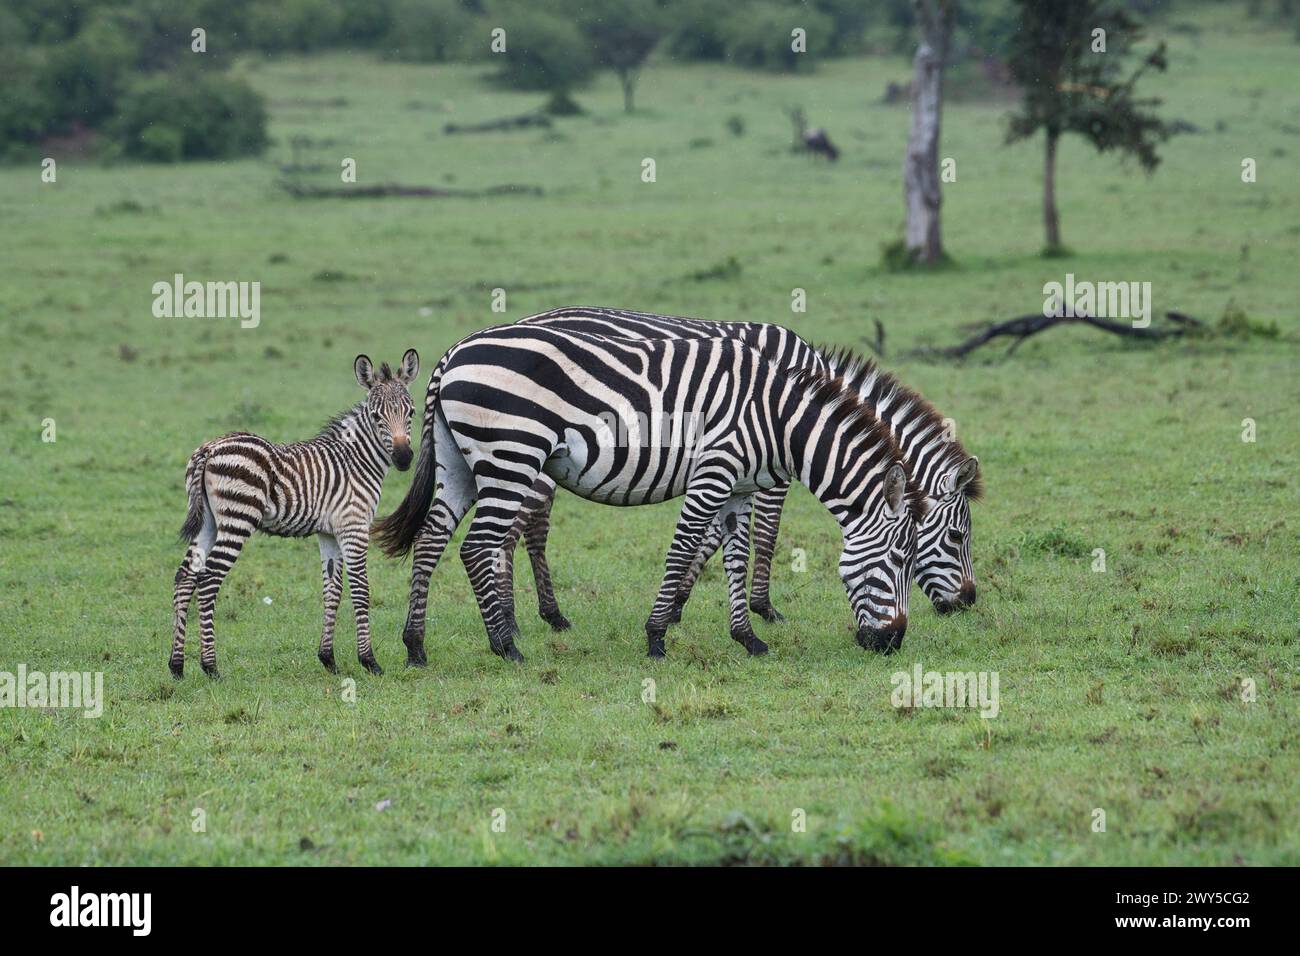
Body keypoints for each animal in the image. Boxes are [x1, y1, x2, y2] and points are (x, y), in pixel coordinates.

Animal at [169, 350, 419, 679]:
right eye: (377, 416)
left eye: (411, 413)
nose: (403, 459)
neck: (356, 459)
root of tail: (209, 449)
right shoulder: (353, 525)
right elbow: (361, 589)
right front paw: (369, 661)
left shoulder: (328, 532)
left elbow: (332, 590)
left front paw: (328, 659)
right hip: (238, 518)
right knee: (208, 580)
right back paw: (211, 667)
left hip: (208, 522)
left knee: (185, 578)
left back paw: (176, 666)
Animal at [372, 326, 926, 664]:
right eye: (901, 559)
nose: (894, 643)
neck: (778, 420)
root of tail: (452, 354)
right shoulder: (714, 471)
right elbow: (683, 548)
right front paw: (657, 634)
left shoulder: (740, 488)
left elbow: (736, 554)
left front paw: (748, 637)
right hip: (511, 454)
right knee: (476, 546)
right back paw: (505, 645)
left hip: (459, 463)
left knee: (431, 540)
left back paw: (415, 646)